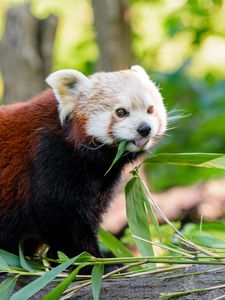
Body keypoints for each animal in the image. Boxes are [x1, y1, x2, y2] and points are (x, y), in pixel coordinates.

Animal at [0, 65, 165, 260]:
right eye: (121, 112)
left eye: (150, 109)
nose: (145, 128)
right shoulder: (51, 154)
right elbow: (58, 216)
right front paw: (92, 259)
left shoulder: (102, 179)